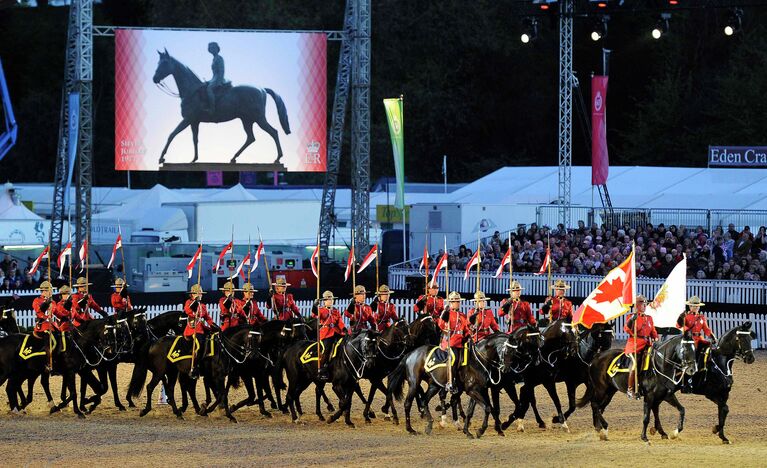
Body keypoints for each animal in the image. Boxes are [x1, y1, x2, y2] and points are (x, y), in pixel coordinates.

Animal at [152, 49, 292, 165]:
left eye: (164, 63)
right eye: (158, 62)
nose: (155, 78)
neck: (191, 91)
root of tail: (262, 89)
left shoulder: (187, 120)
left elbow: (172, 134)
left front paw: (161, 158)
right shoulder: (194, 122)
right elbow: (195, 139)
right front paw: (194, 159)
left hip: (259, 119)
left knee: (273, 132)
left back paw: (278, 158)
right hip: (247, 120)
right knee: (251, 138)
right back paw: (234, 158)